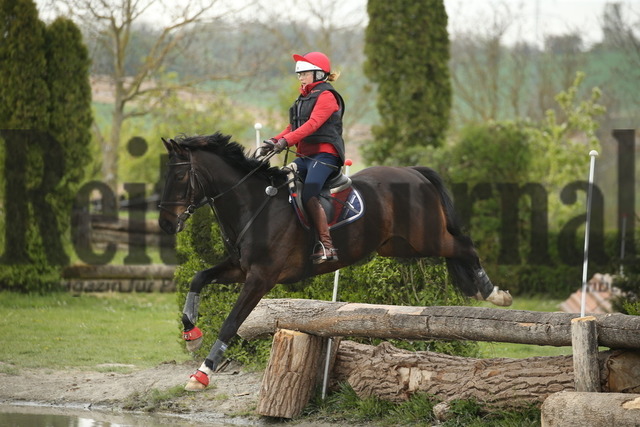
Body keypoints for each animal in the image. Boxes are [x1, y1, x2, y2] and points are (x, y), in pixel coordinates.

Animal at [158, 133, 512, 392]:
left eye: (180, 175)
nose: (165, 224)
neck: (253, 205)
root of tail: (413, 171)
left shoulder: (261, 277)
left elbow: (232, 322)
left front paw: (202, 372)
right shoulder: (240, 268)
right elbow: (199, 277)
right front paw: (191, 334)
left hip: (426, 237)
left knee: (463, 246)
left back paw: (493, 293)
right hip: (400, 246)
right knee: (453, 251)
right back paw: (484, 291)